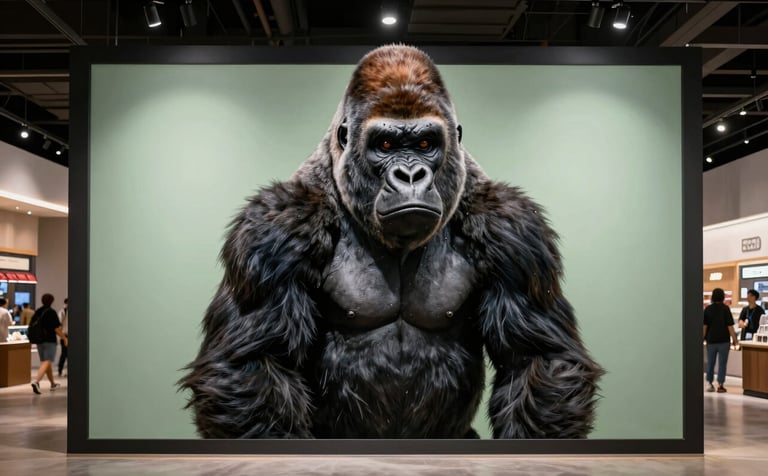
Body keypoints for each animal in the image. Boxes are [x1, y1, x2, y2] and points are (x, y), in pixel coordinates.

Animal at [180, 44, 603, 439]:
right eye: (384, 146)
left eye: (425, 145)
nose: (410, 175)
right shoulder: (274, 227)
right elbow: (254, 363)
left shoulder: (514, 228)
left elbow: (536, 358)